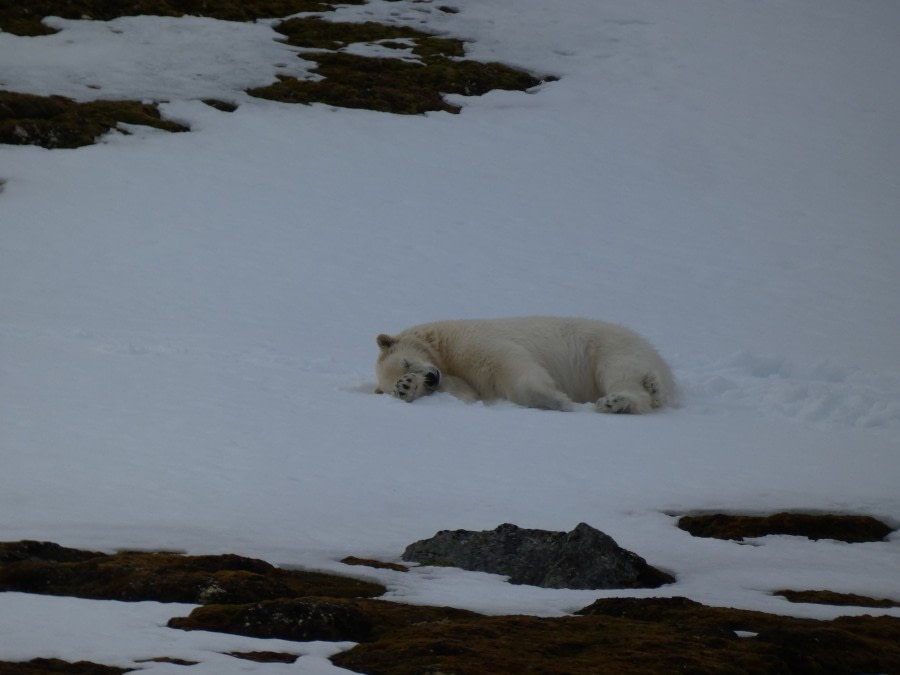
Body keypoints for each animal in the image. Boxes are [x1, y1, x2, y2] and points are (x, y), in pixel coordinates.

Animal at [374, 318, 676, 418]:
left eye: (406, 361)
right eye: (407, 369)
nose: (430, 377)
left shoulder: (467, 342)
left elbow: (509, 363)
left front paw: (558, 400)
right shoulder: (456, 376)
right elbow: (465, 394)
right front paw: (406, 388)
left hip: (610, 346)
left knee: (621, 372)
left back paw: (618, 400)